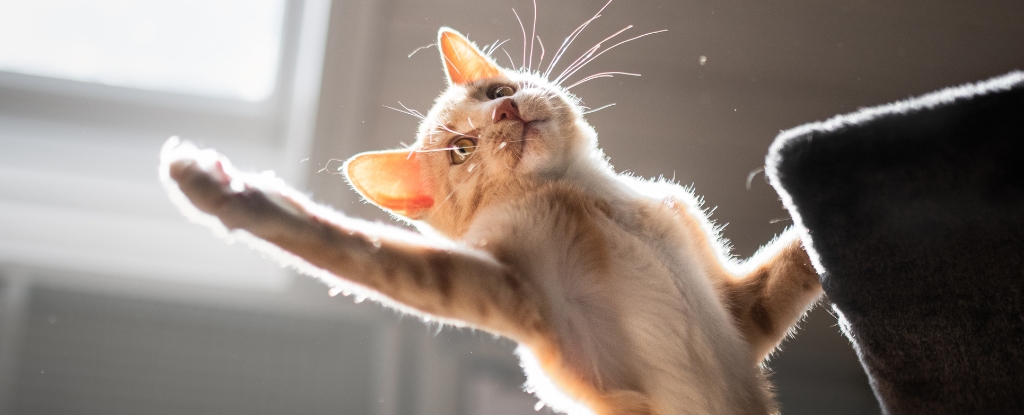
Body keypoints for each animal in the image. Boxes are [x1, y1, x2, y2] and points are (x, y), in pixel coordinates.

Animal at [157, 15, 823, 409]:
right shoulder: (515, 292)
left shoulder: (744, 318)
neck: (581, 192)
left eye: (496, 93)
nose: (505, 112)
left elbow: (794, 261)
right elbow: (358, 251)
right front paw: (226, 191)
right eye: (461, 148)